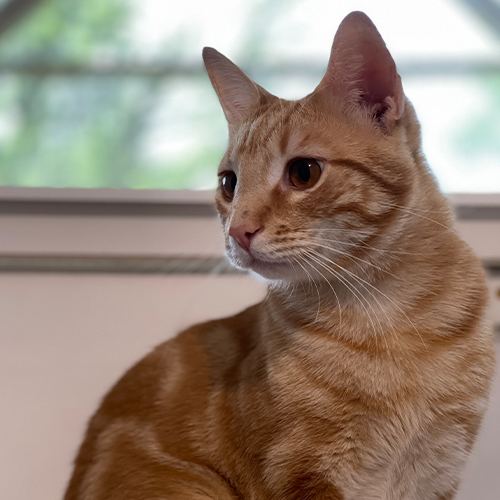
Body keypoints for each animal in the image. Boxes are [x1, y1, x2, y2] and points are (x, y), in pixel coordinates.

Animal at [65, 11, 496, 500]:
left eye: (303, 172)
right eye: (229, 183)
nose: (238, 231)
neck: (389, 317)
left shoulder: (438, 468)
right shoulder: (301, 472)